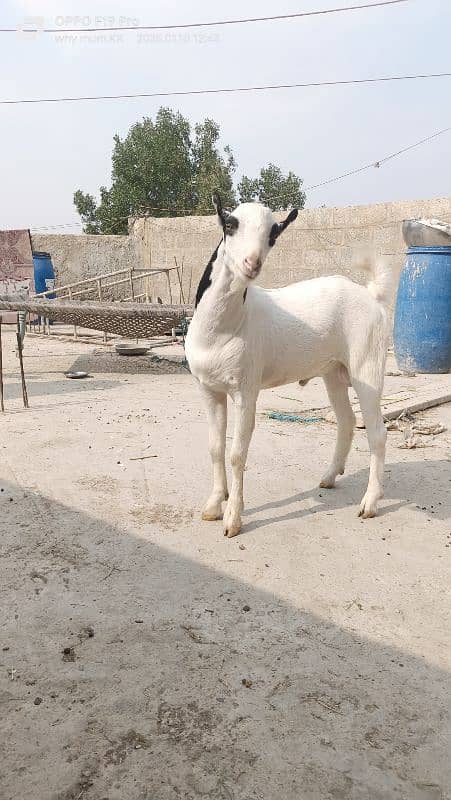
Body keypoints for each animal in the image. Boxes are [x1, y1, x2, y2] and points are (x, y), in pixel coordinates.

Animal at [185, 194, 394, 536]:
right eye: (230, 225)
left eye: (273, 234)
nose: (252, 263)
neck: (224, 329)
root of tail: (370, 295)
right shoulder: (209, 389)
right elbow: (215, 448)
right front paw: (214, 505)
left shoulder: (246, 391)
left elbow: (237, 453)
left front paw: (233, 518)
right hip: (334, 372)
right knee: (347, 420)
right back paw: (330, 476)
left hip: (367, 364)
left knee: (376, 431)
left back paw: (370, 502)